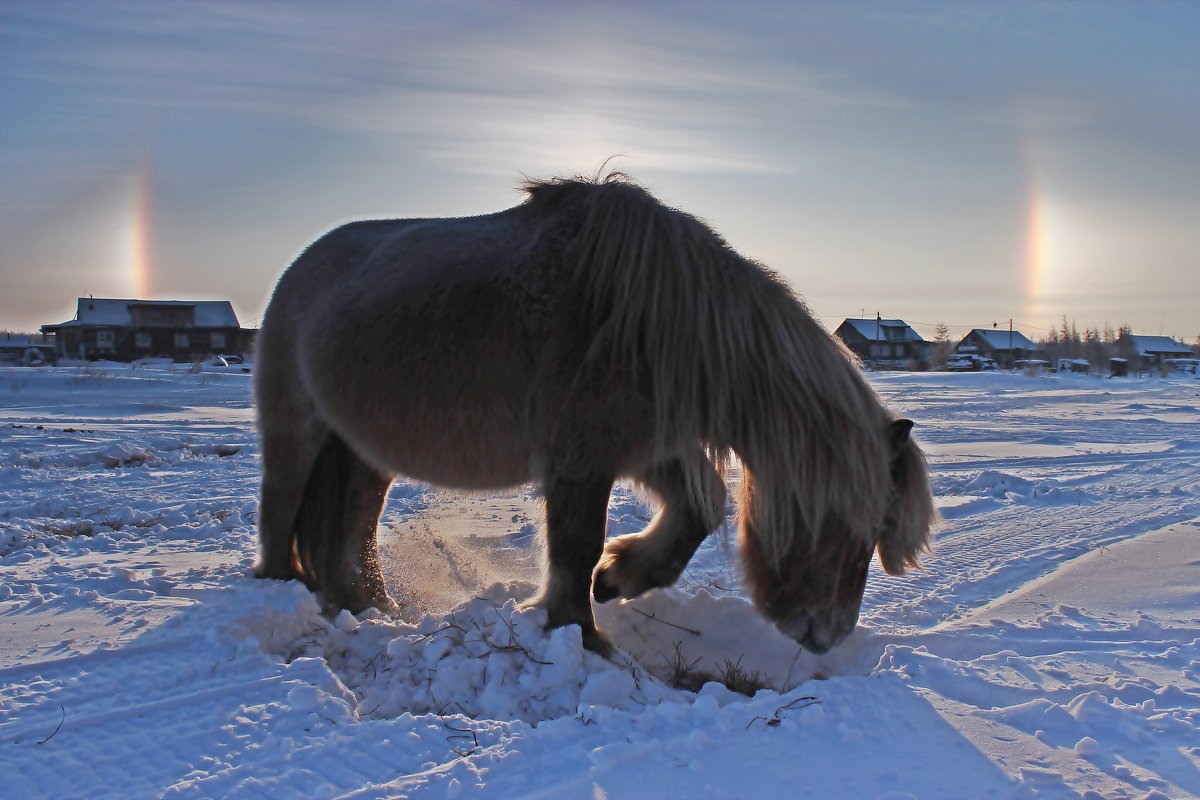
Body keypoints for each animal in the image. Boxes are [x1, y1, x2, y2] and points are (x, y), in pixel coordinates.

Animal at [253, 172, 936, 652]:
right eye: (858, 528)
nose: (827, 636)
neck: (658, 321)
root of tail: (300, 269)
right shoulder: (581, 460)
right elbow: (575, 545)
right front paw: (579, 632)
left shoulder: (642, 447)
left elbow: (703, 505)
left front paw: (621, 577)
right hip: (296, 430)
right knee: (281, 507)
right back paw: (284, 589)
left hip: (364, 452)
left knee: (354, 528)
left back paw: (373, 609)